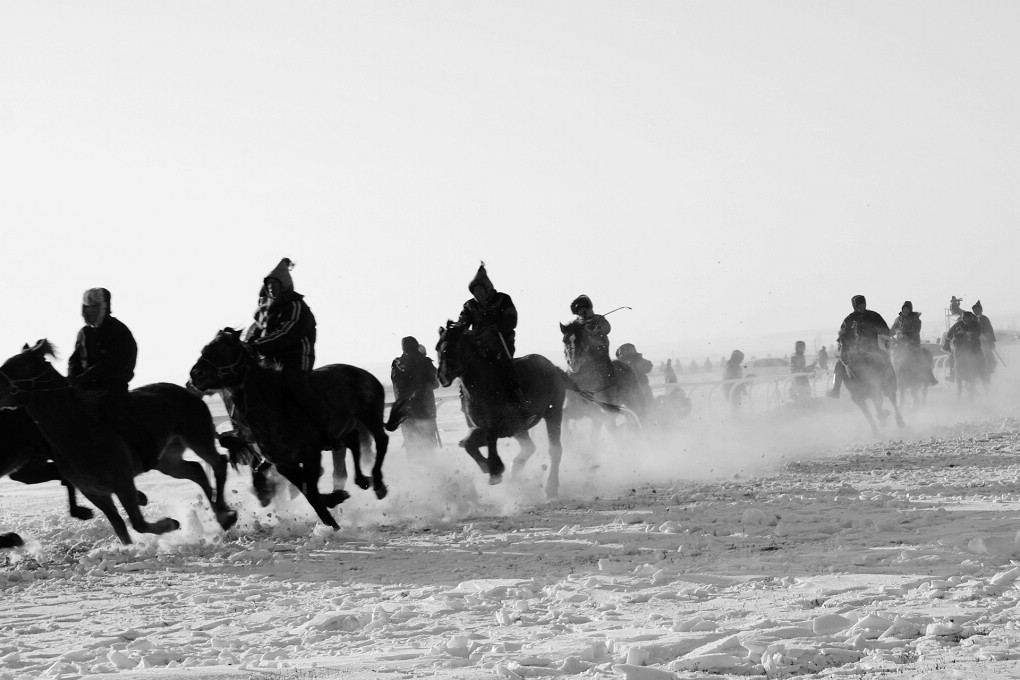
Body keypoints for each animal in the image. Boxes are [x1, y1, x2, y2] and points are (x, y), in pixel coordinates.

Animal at [0, 342, 236, 546]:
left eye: (20, 364)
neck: (77, 433)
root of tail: (190, 392)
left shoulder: (123, 483)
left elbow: (138, 523)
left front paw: (170, 523)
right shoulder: (95, 493)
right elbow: (120, 526)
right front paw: (130, 548)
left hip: (199, 440)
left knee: (218, 463)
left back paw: (225, 514)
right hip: (168, 461)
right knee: (196, 470)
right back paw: (220, 515)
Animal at [189, 326, 403, 530]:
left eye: (223, 350)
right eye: (204, 349)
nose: (195, 375)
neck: (271, 407)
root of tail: (364, 374)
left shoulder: (310, 455)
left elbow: (311, 490)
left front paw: (333, 518)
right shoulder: (284, 465)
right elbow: (309, 491)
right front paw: (334, 505)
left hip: (371, 416)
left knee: (381, 441)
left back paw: (378, 485)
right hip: (346, 428)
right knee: (353, 442)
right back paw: (362, 480)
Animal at [434, 322, 607, 497]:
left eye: (454, 347)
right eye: (438, 348)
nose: (442, 376)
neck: (486, 388)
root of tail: (553, 367)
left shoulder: (503, 427)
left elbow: (486, 439)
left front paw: (495, 469)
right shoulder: (487, 428)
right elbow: (469, 443)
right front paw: (488, 467)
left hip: (553, 412)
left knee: (555, 450)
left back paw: (551, 487)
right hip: (522, 429)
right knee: (529, 447)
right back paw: (516, 471)